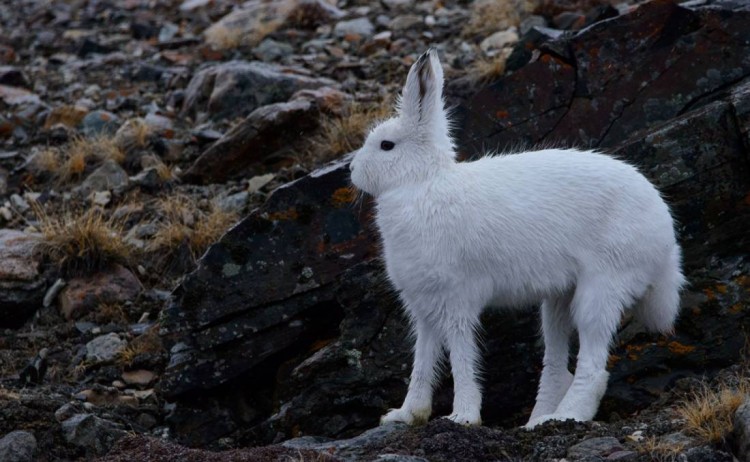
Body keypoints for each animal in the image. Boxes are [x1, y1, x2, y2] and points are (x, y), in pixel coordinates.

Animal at [348, 49, 685, 428]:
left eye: (386, 145)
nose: (353, 171)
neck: (422, 183)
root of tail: (665, 236)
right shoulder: (423, 308)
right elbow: (423, 360)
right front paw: (405, 415)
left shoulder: (455, 299)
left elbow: (460, 356)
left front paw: (463, 417)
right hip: (558, 300)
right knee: (557, 365)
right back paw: (538, 420)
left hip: (603, 286)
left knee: (594, 367)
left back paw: (564, 417)